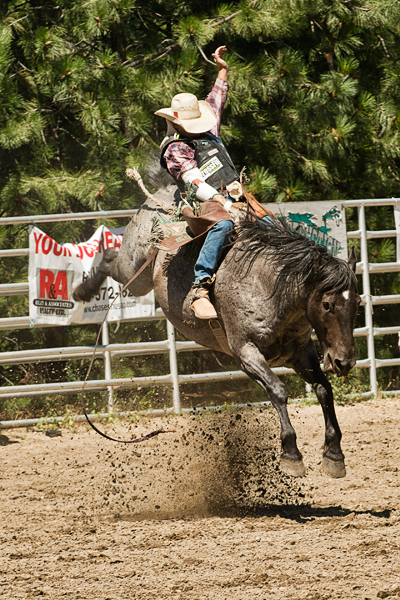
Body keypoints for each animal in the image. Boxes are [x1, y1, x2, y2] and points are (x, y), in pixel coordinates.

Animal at [73, 173, 360, 480]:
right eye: (327, 304)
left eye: (357, 302)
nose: (344, 362)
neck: (269, 286)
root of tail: (161, 196)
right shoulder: (245, 352)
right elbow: (278, 390)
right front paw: (291, 454)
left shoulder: (300, 353)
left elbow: (323, 389)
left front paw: (334, 454)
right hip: (134, 272)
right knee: (109, 258)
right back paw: (81, 291)